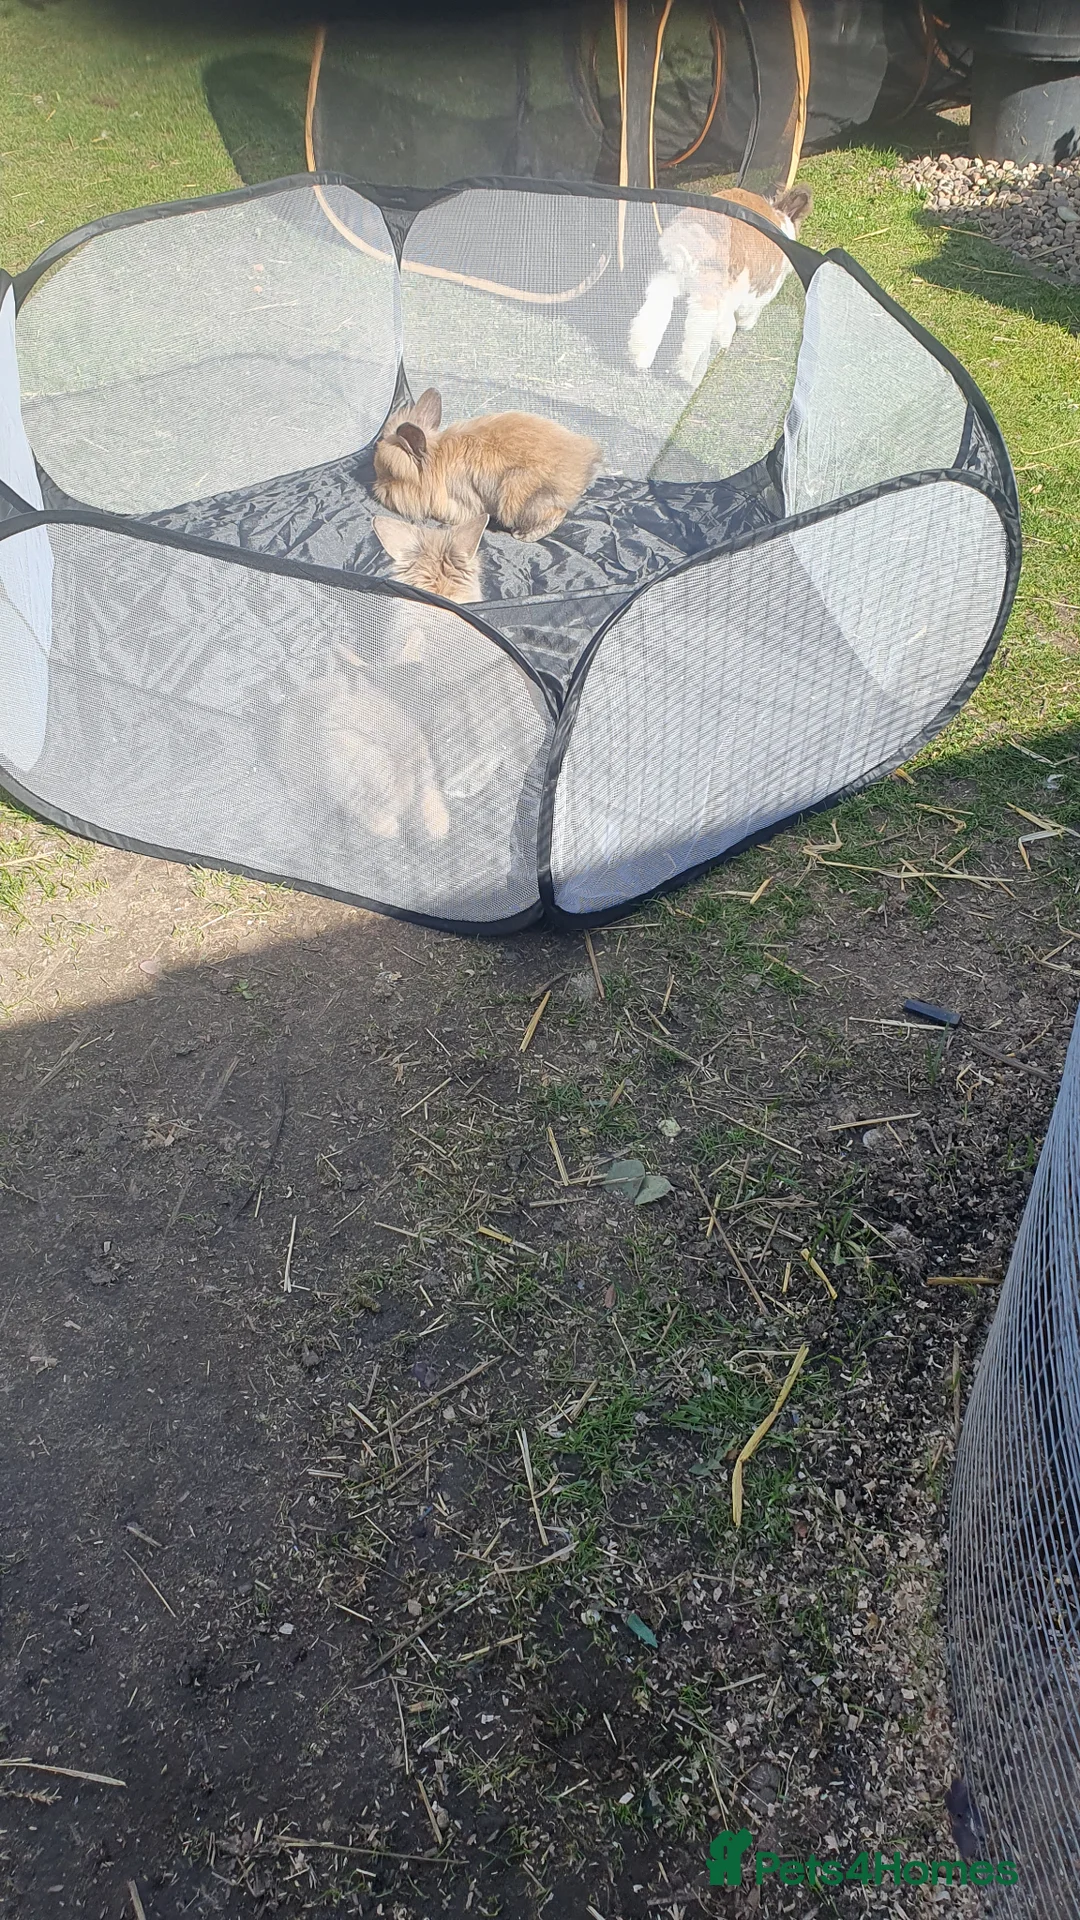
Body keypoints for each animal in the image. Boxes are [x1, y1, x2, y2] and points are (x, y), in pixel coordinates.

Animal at [372, 388, 601, 541]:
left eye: (392, 475)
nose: (377, 489)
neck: (436, 460)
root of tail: (581, 467)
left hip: (519, 494)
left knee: (556, 514)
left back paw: (522, 535)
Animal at [628, 184, 812, 386]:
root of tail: (693, 233)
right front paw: (746, 326)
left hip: (666, 278)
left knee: (652, 316)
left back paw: (639, 361)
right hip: (711, 294)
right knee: (698, 330)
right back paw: (686, 375)